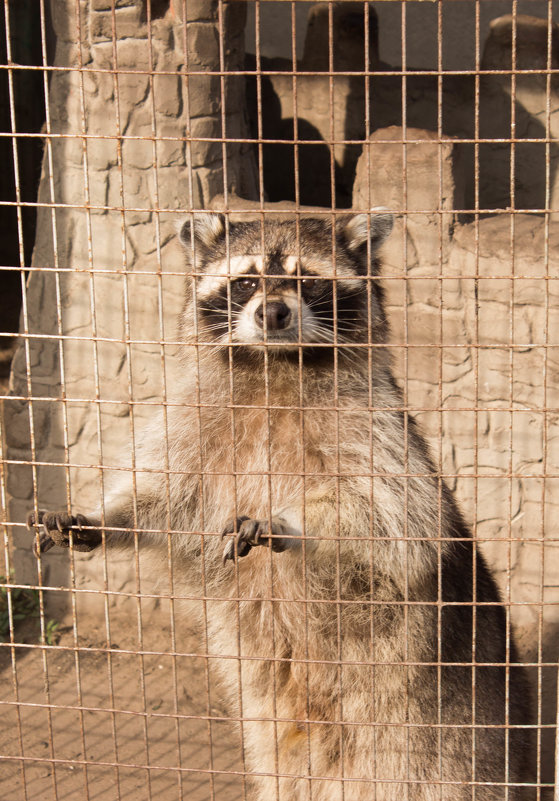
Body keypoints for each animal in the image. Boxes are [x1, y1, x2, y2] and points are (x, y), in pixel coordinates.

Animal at [28, 212, 532, 800]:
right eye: (246, 282)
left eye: (307, 281)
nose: (272, 311)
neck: (276, 366)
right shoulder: (194, 422)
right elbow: (163, 499)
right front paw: (103, 519)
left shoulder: (377, 429)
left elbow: (394, 520)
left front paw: (291, 522)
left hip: (444, 735)